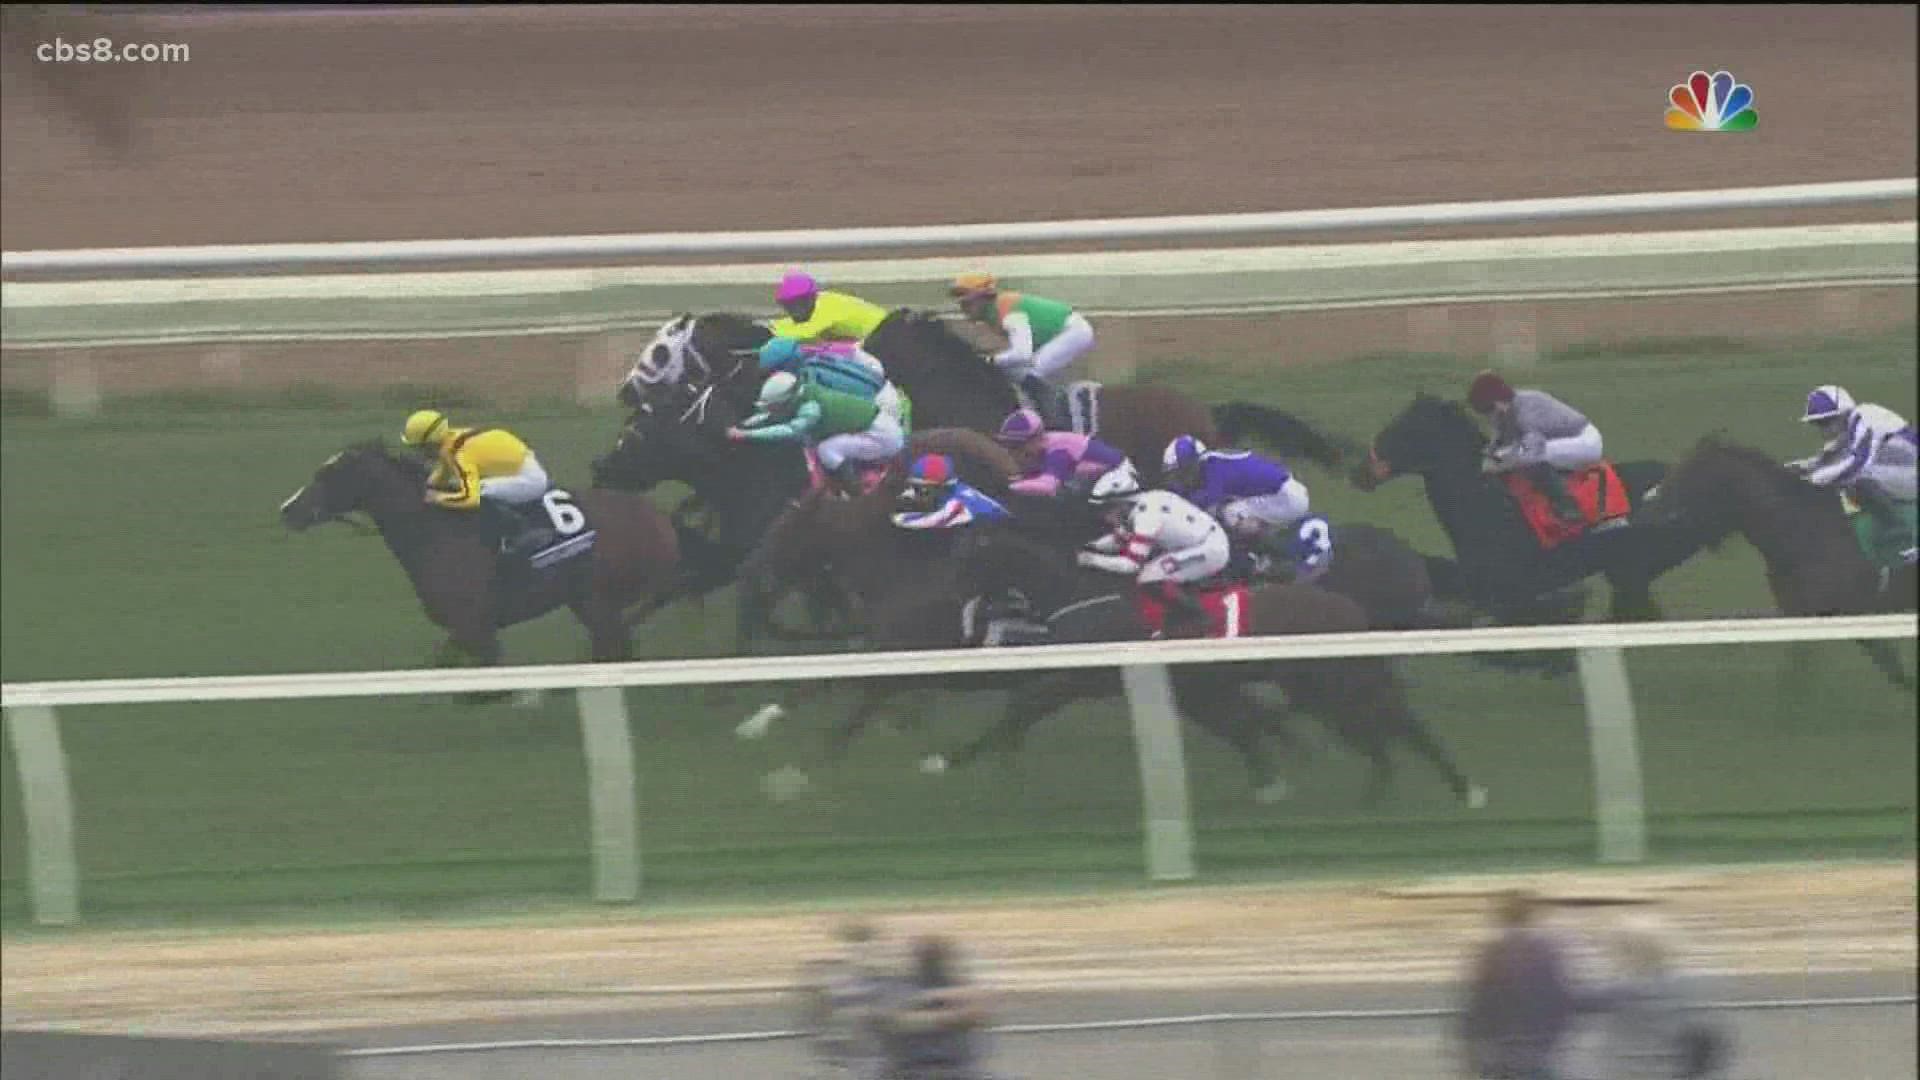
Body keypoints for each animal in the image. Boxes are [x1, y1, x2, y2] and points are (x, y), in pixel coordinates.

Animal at [278, 441, 679, 668]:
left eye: (329, 475)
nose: (288, 509)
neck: (437, 532)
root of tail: (658, 518)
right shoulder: (464, 629)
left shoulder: (476, 625)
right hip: (588, 602)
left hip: (599, 600)